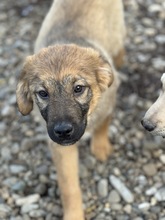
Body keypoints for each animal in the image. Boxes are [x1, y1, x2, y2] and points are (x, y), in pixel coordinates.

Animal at [16, 0, 125, 219]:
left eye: (78, 89)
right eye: (43, 93)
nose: (63, 131)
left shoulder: (109, 99)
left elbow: (104, 122)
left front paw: (101, 146)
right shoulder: (60, 147)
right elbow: (69, 187)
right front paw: (74, 214)